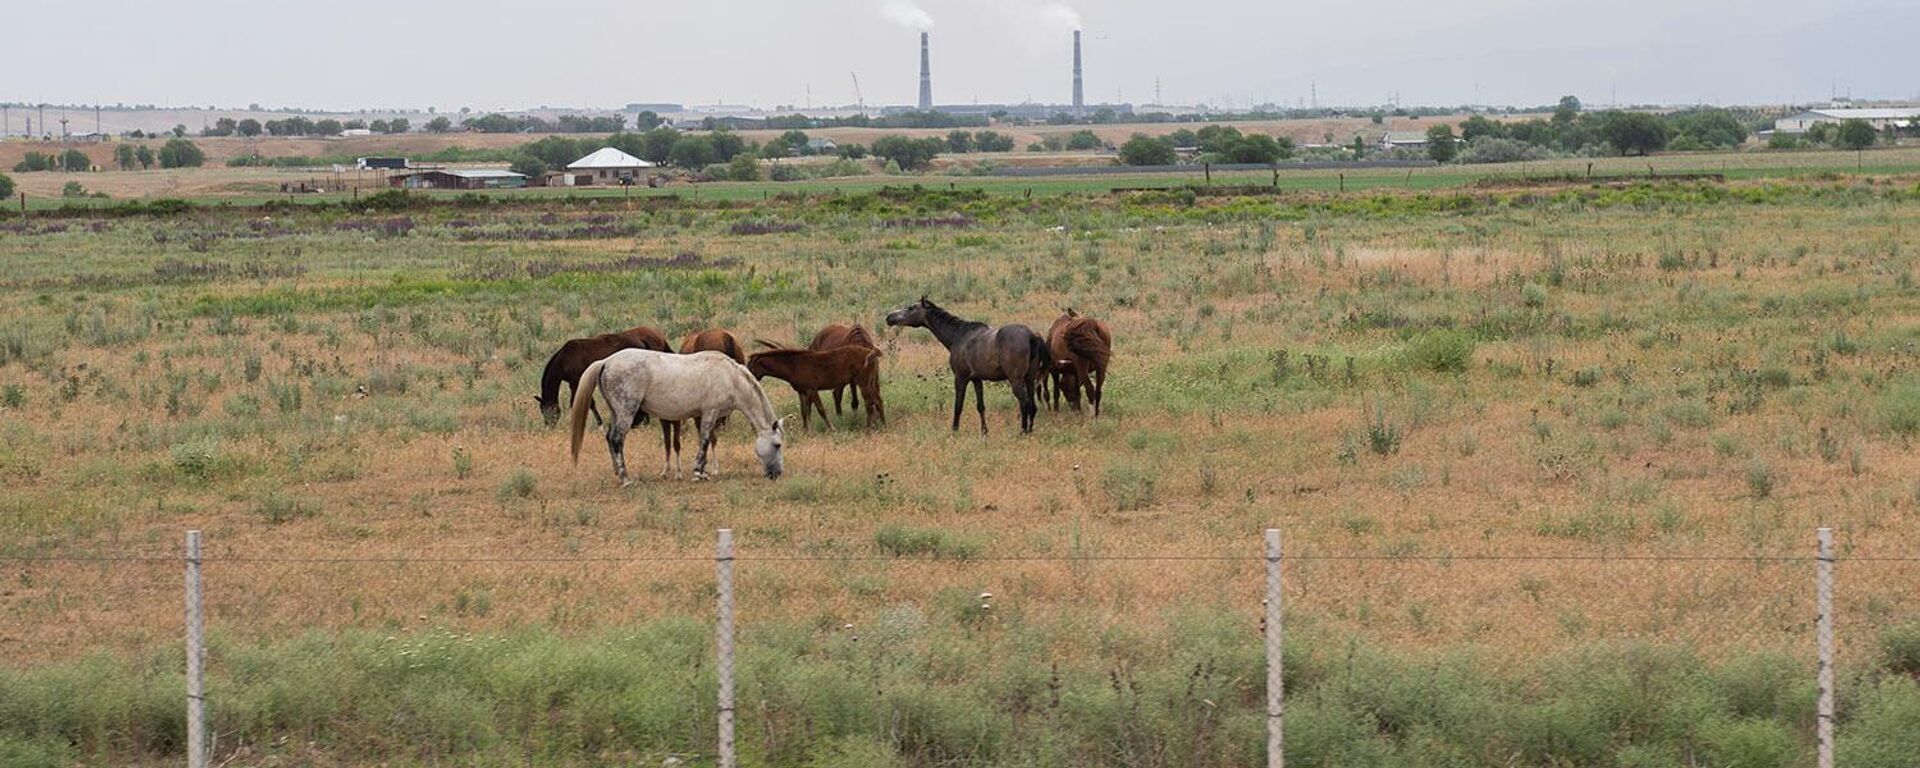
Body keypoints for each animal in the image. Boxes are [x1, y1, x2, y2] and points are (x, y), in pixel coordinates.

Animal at [533, 326, 675, 428]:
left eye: (545, 410)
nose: (549, 426)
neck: (564, 360)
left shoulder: (576, 382)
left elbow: (581, 403)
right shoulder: (574, 383)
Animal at [568, 349, 787, 485]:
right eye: (777, 445)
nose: (777, 474)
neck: (731, 378)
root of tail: (606, 362)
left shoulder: (703, 416)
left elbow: (706, 441)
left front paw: (704, 471)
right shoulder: (710, 412)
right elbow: (704, 441)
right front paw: (698, 473)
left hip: (616, 413)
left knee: (609, 438)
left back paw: (617, 471)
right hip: (626, 412)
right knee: (616, 439)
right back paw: (625, 478)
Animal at [744, 345, 887, 432]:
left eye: (750, 366)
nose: (746, 378)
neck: (794, 365)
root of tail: (871, 353)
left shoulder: (812, 390)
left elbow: (820, 410)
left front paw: (831, 429)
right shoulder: (802, 392)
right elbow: (804, 411)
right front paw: (805, 430)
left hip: (863, 383)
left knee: (869, 403)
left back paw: (868, 428)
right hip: (870, 383)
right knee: (878, 400)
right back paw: (883, 424)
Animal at [883, 297, 1052, 435]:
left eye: (911, 308)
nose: (889, 318)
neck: (959, 336)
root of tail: (1032, 336)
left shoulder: (960, 378)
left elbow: (958, 405)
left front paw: (954, 430)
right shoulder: (977, 379)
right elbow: (980, 406)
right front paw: (984, 432)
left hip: (1016, 379)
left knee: (1024, 402)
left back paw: (1022, 431)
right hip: (1029, 378)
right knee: (1032, 405)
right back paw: (1029, 430)